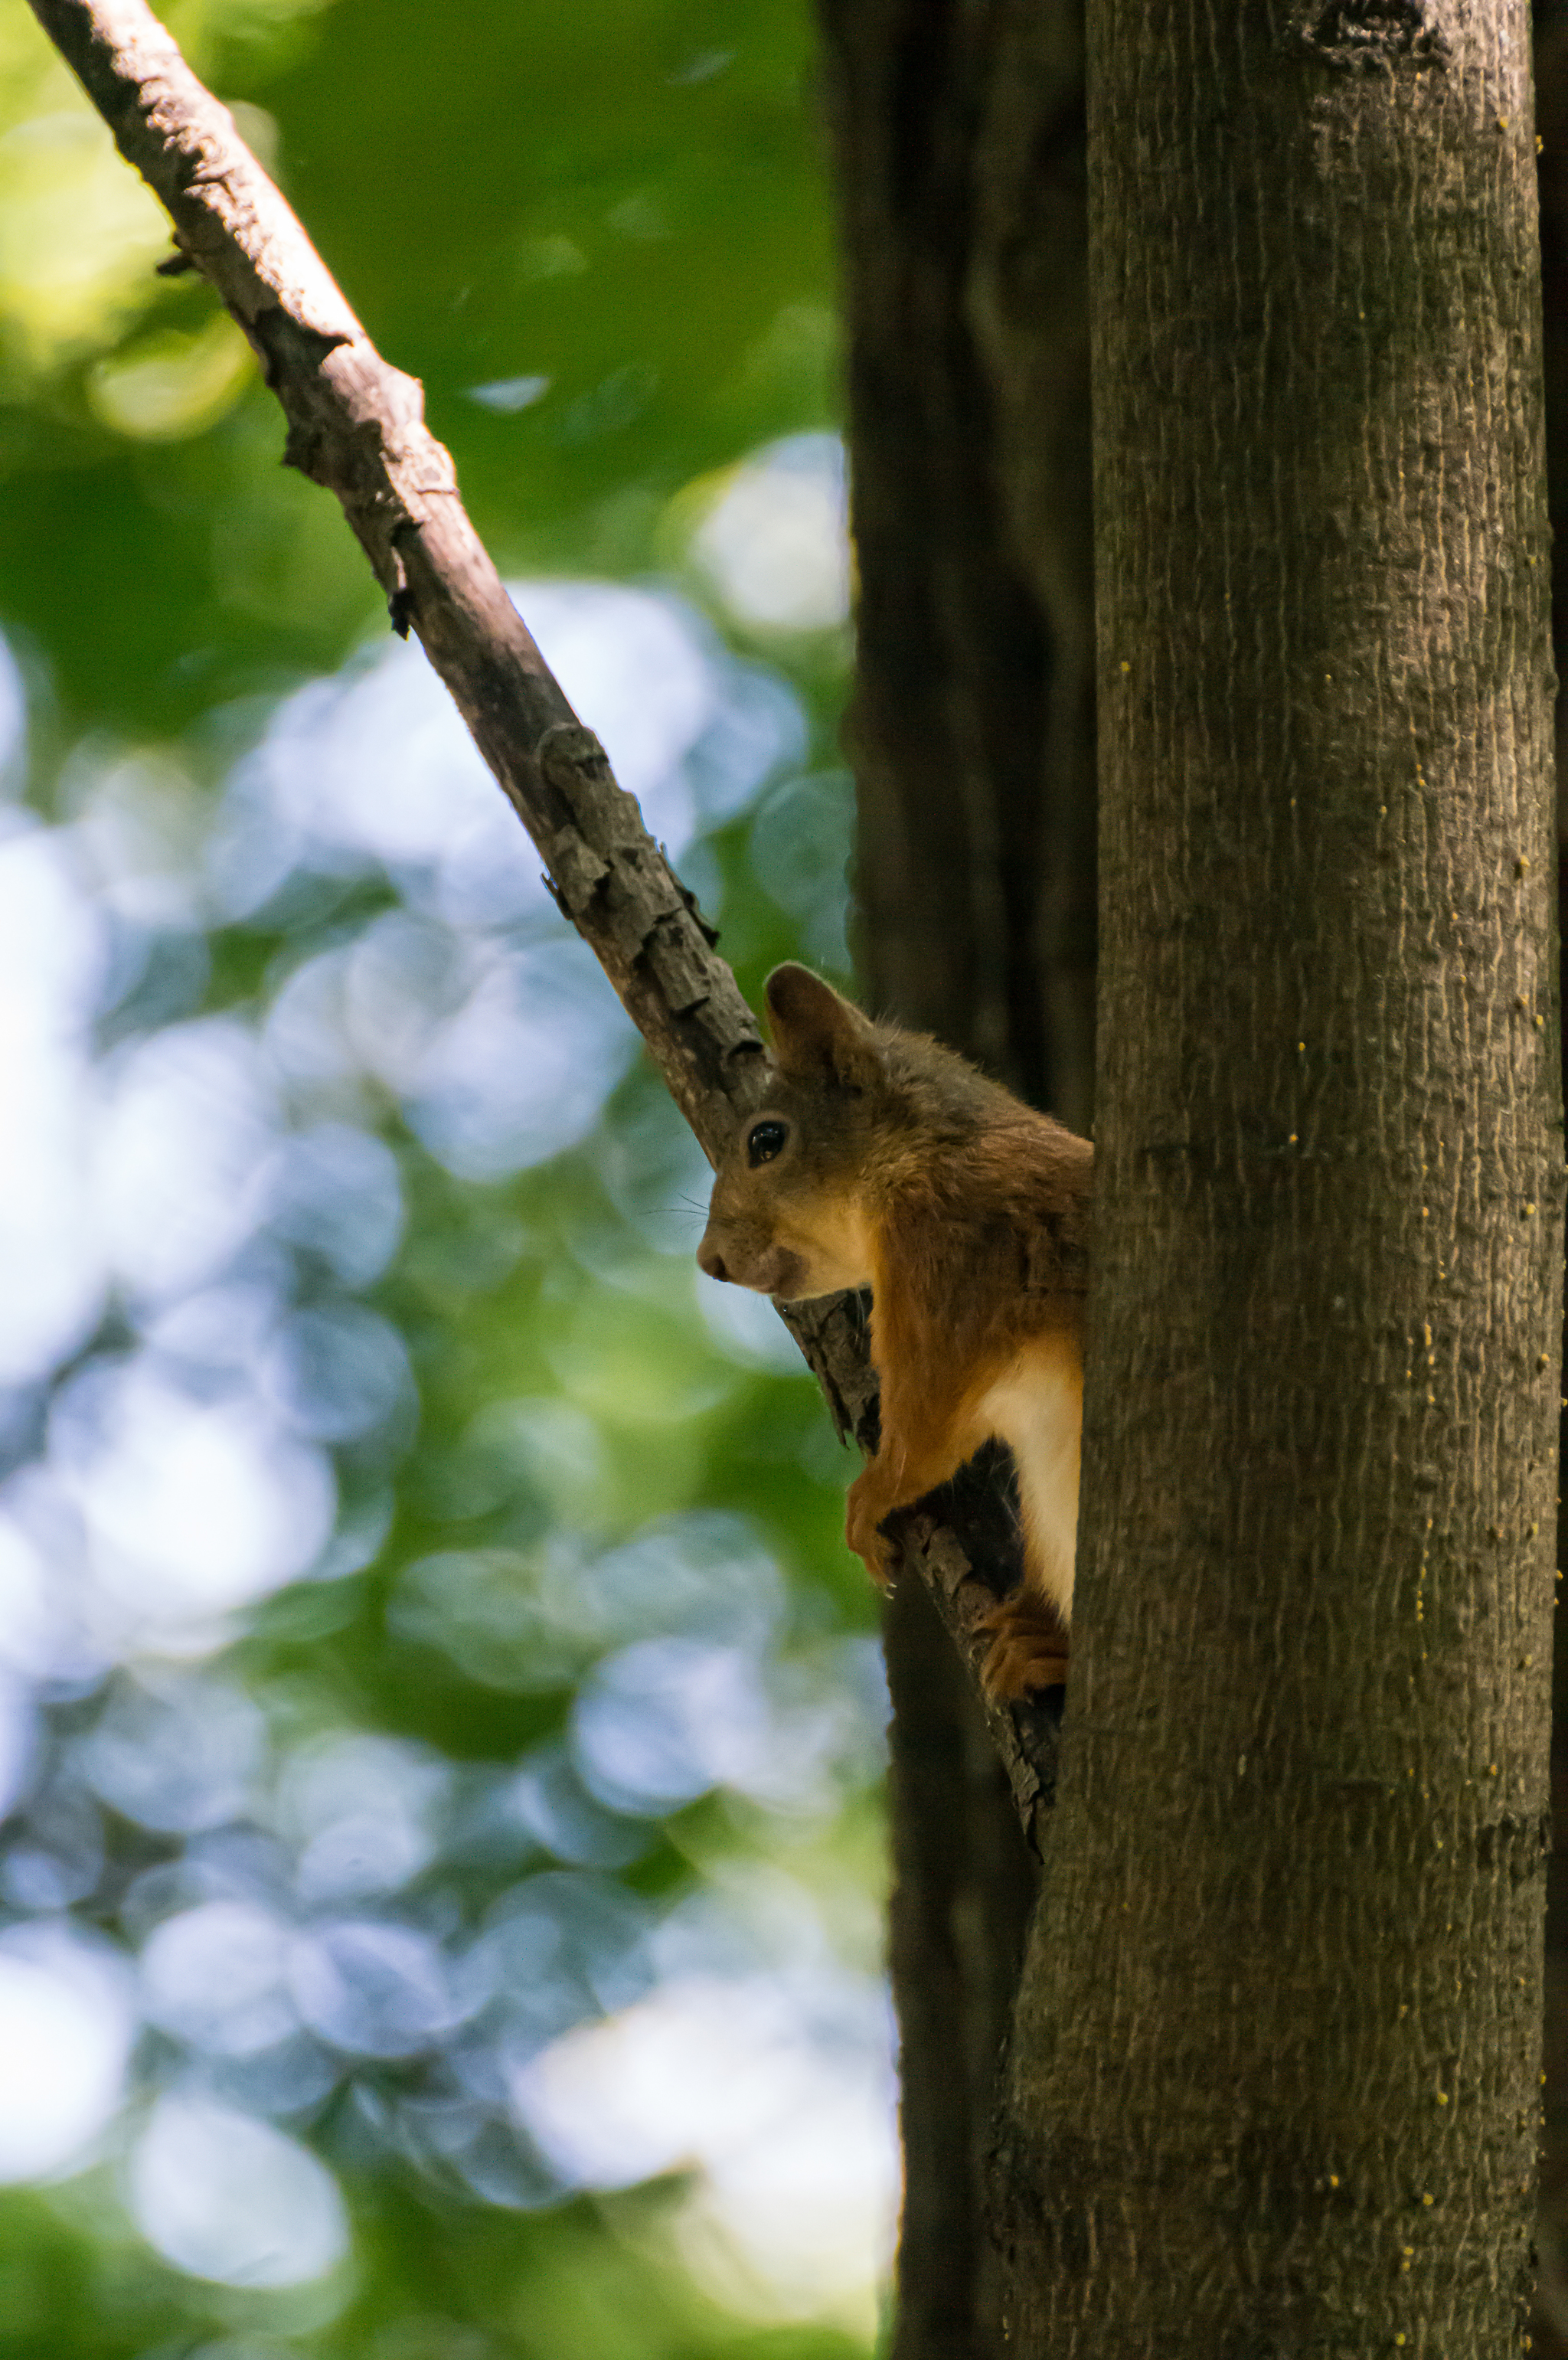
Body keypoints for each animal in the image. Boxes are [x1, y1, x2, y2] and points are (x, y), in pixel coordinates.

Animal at [697, 958, 1089, 1699]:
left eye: (767, 1140)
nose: (712, 1262)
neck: (926, 1154)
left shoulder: (947, 1260)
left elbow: (930, 1421)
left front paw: (871, 1496)